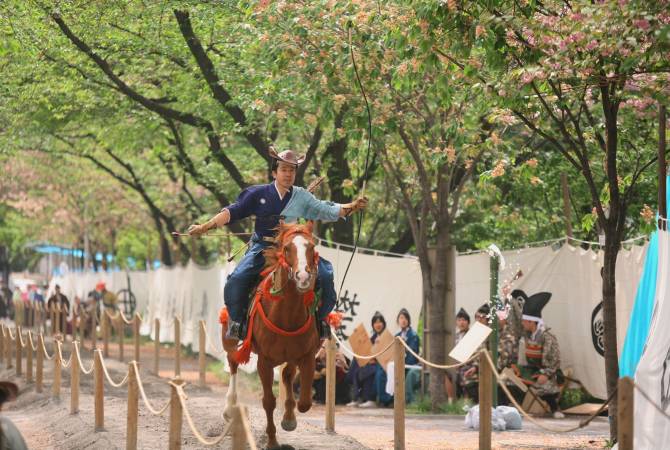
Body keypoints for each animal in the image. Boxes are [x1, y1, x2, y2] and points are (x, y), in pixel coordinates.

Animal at [222, 222, 322, 450]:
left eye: (312, 246)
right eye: (286, 248)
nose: (303, 277)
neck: (286, 313)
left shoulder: (307, 356)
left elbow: (304, 403)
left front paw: (289, 420)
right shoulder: (265, 361)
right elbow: (268, 401)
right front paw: (272, 441)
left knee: (286, 375)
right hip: (229, 336)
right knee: (232, 361)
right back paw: (230, 407)